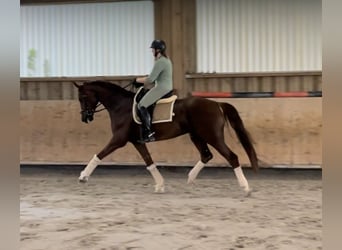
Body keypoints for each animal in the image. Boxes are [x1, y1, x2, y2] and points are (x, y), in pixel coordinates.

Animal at [73, 80, 258, 195]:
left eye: (83, 97)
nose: (85, 118)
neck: (121, 106)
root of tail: (217, 104)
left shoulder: (118, 140)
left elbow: (99, 155)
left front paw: (83, 176)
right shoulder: (137, 142)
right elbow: (149, 162)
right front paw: (160, 185)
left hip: (213, 136)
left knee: (231, 157)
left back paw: (245, 187)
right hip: (197, 136)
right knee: (206, 155)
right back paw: (190, 179)